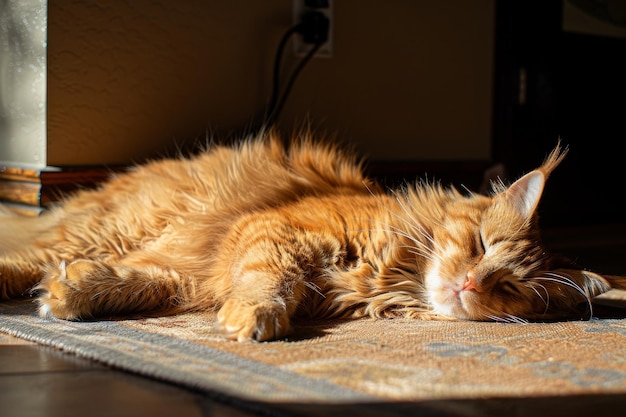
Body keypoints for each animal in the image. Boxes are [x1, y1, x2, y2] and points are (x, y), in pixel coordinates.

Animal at [0, 131, 620, 342]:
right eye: (481, 247)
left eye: (509, 289)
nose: (469, 283)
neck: (392, 276)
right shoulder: (270, 233)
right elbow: (271, 281)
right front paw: (257, 317)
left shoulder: (190, 272)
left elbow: (136, 280)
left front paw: (72, 296)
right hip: (104, 227)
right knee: (28, 255)